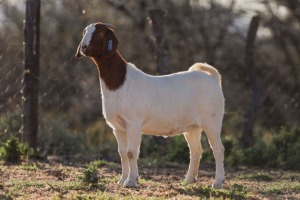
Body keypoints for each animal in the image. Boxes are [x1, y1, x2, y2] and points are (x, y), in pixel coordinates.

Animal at [75, 22, 225, 189]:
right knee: (196, 150)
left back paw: (217, 183)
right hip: (192, 126)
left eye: (100, 33)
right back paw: (188, 180)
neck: (119, 81)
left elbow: (131, 152)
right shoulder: (118, 127)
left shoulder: (133, 123)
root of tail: (212, 78)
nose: (83, 47)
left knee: (218, 149)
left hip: (212, 120)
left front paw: (131, 181)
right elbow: (122, 153)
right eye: (84, 32)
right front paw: (122, 180)